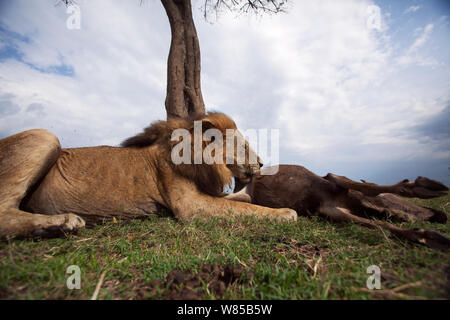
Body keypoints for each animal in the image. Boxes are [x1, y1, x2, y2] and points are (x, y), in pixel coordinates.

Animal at [0, 111, 298, 239]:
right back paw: (63, 222)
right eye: (244, 146)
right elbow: (250, 209)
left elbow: (243, 201)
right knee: (5, 214)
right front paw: (286, 212)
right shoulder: (191, 206)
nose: (262, 163)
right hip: (44, 136)